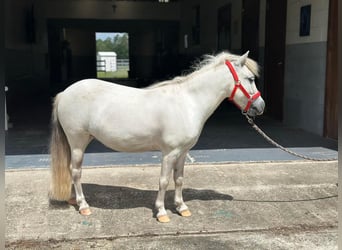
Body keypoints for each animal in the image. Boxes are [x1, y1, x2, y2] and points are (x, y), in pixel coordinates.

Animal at [48, 50, 264, 223]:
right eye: (250, 79)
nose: (260, 106)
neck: (188, 102)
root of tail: (65, 93)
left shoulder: (182, 153)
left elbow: (179, 179)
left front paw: (181, 208)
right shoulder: (170, 153)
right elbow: (164, 181)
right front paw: (161, 212)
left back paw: (73, 200)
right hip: (77, 142)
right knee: (76, 171)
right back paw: (84, 206)